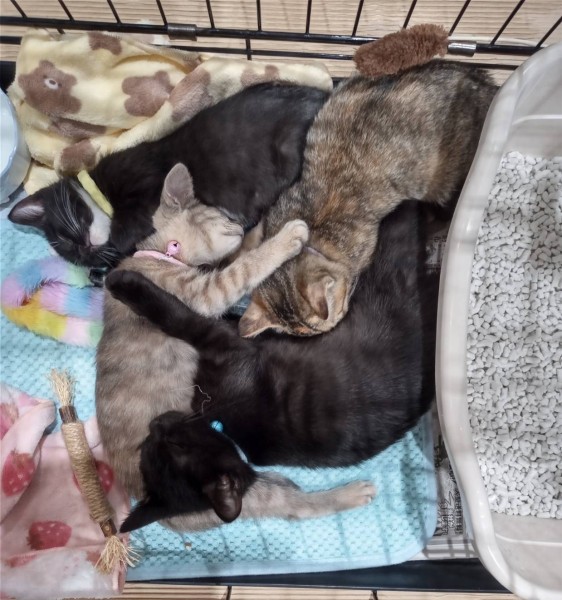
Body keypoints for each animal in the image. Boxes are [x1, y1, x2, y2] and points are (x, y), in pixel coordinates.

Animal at [8, 82, 329, 279]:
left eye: (65, 239)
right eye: (73, 254)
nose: (84, 249)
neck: (102, 194)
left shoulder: (147, 183)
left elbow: (126, 230)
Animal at [96, 162, 312, 500]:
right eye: (222, 215)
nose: (240, 223)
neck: (164, 255)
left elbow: (240, 256)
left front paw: (260, 228)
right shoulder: (204, 294)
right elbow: (245, 267)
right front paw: (285, 238)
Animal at [105, 201, 437, 532]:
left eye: (168, 443)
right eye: (154, 443)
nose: (155, 424)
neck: (221, 423)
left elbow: (184, 310)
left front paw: (121, 282)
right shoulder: (219, 336)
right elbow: (182, 310)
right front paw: (125, 283)